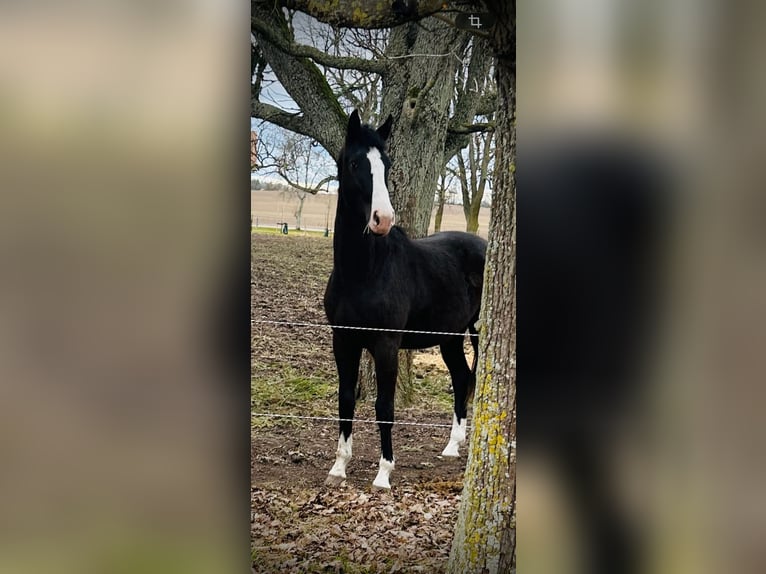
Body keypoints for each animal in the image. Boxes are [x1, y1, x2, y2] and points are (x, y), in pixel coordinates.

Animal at [323, 110, 487, 490]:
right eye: (355, 163)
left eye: (386, 164)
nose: (383, 220)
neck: (364, 272)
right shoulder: (343, 340)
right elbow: (346, 399)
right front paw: (339, 467)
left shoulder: (385, 344)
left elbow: (384, 406)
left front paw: (384, 474)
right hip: (450, 338)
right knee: (462, 378)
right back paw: (452, 447)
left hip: (477, 333)